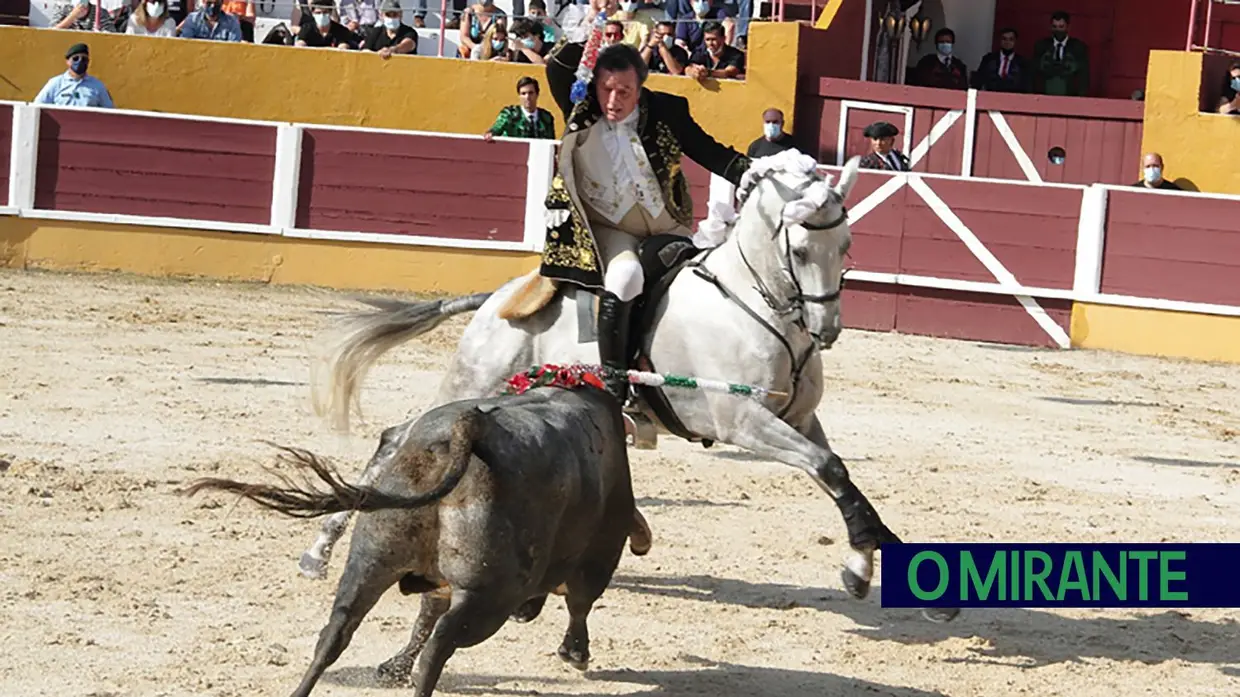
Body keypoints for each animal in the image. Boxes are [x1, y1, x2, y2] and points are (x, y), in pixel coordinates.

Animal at [188, 384, 644, 694]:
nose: (525, 614)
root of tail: (468, 428)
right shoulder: (598, 557)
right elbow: (581, 605)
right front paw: (576, 654)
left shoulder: (434, 582)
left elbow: (423, 614)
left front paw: (392, 668)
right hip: (489, 596)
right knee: (438, 649)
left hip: (369, 560)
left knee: (334, 634)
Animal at [302, 149, 957, 620]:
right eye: (798, 247)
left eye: (846, 244)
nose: (828, 329)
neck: (752, 303)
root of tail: (498, 297)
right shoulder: (742, 423)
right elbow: (828, 467)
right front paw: (865, 560)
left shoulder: (796, 419)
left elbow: (836, 470)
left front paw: (872, 566)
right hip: (473, 377)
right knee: (396, 437)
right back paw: (322, 548)